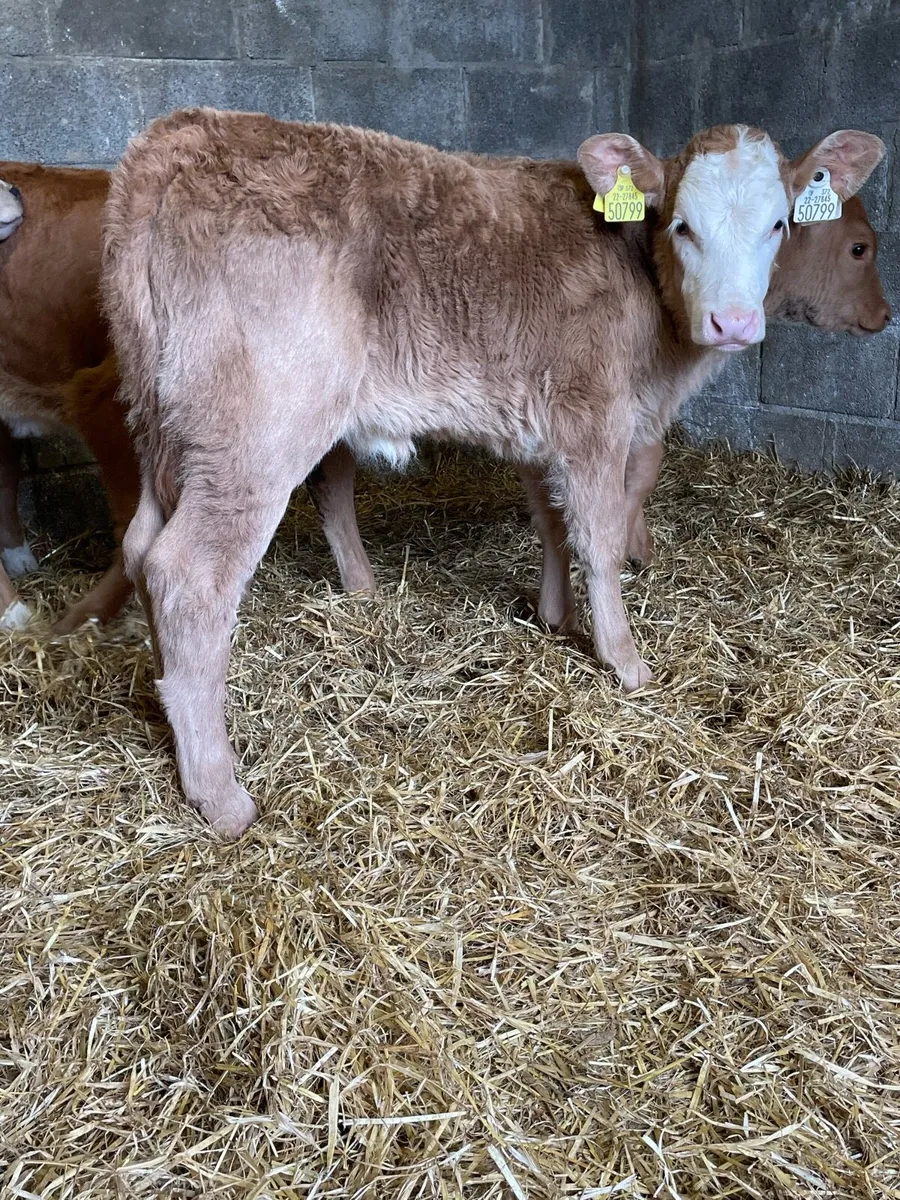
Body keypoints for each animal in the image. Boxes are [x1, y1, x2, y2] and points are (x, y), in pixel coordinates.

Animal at [100, 108, 883, 836]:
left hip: (164, 428)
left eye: (779, 224)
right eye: (682, 226)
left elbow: (551, 522)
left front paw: (552, 616)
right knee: (188, 575)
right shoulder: (594, 416)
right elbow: (599, 538)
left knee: (140, 548)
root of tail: (175, 139)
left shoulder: (544, 427)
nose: (733, 322)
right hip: (254, 430)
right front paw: (623, 660)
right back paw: (219, 793)